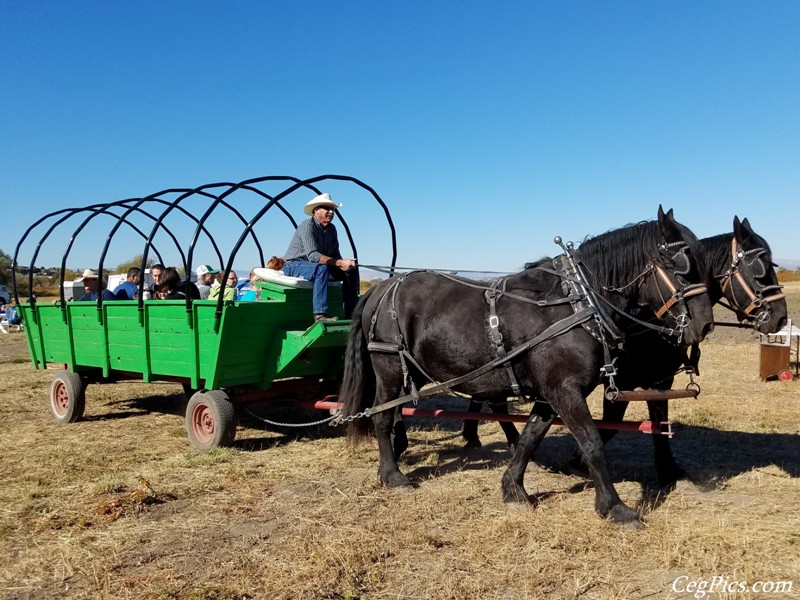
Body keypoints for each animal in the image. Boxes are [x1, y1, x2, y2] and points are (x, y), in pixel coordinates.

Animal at [338, 207, 712, 524]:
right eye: (681, 264)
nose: (705, 325)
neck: (577, 303)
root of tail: (384, 286)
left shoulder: (551, 391)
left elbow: (531, 436)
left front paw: (514, 489)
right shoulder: (565, 390)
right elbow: (591, 441)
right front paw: (614, 507)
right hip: (388, 369)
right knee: (383, 416)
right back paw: (393, 475)